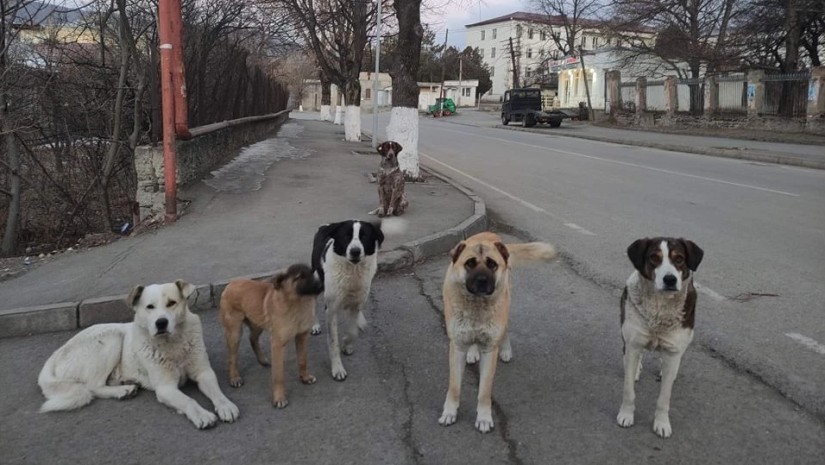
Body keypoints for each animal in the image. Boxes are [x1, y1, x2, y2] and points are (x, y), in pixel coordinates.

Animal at [38, 280, 239, 429]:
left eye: (171, 303)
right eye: (150, 307)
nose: (161, 323)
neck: (172, 344)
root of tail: (56, 354)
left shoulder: (204, 373)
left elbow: (217, 392)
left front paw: (226, 406)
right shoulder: (165, 388)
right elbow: (188, 400)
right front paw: (202, 414)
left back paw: (126, 383)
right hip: (112, 338)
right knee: (92, 386)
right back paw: (122, 391)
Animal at [219, 264, 323, 408]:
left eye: (312, 273)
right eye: (299, 277)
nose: (321, 284)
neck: (297, 303)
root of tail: (231, 284)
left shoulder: (302, 337)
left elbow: (303, 360)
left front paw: (305, 377)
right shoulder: (277, 345)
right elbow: (278, 376)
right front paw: (279, 398)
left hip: (257, 323)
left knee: (252, 339)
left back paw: (262, 360)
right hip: (234, 332)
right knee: (232, 358)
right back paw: (235, 377)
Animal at [309, 219, 404, 381]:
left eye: (364, 236)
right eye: (346, 236)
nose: (355, 251)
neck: (352, 271)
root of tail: (327, 225)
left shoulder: (355, 303)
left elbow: (352, 331)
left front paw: (347, 344)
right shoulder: (332, 309)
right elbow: (333, 342)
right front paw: (337, 369)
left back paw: (360, 320)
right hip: (316, 280)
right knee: (313, 302)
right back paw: (315, 325)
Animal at [438, 232, 557, 433]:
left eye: (492, 264)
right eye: (470, 263)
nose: (482, 281)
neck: (477, 304)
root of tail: (489, 233)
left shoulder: (489, 350)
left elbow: (484, 391)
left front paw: (484, 417)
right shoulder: (457, 348)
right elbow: (454, 387)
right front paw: (450, 412)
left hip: (505, 307)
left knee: (505, 330)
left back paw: (506, 350)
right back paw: (473, 352)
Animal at [616, 237, 704, 438]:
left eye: (679, 259)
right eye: (654, 258)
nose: (670, 279)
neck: (660, 309)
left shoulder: (673, 350)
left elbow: (664, 398)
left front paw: (662, 423)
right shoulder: (633, 343)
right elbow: (628, 390)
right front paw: (626, 414)